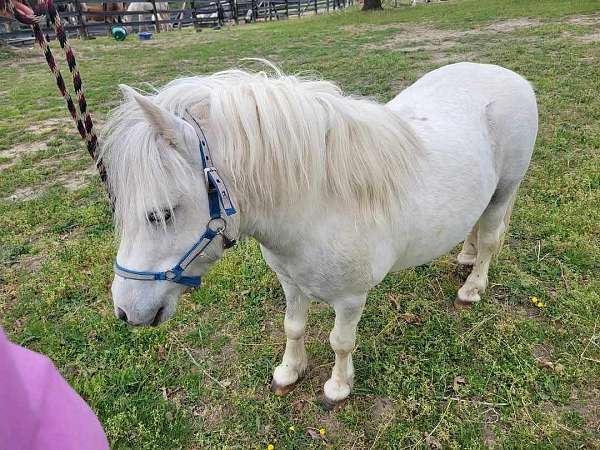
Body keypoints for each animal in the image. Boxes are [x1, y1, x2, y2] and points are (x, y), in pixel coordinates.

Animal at [101, 61, 536, 406]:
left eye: (161, 214)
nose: (125, 311)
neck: (319, 205)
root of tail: (508, 75)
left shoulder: (351, 298)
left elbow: (341, 342)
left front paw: (338, 387)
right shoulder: (291, 282)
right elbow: (293, 327)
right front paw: (289, 372)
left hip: (505, 189)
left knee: (491, 239)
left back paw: (472, 287)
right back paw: (465, 254)